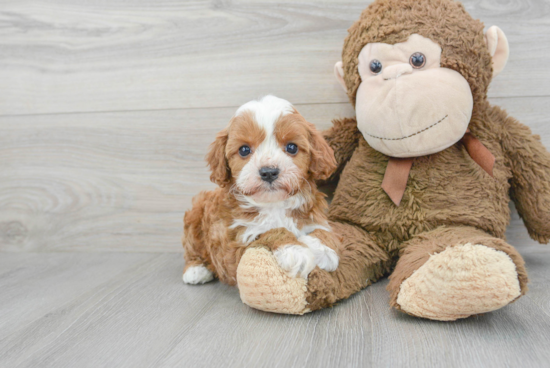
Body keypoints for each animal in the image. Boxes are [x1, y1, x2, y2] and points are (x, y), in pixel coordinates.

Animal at [183, 94, 340, 284]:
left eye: (292, 147)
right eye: (244, 150)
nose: (269, 172)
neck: (274, 204)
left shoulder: (313, 216)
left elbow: (322, 230)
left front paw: (322, 249)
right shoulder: (233, 247)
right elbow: (268, 231)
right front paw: (295, 250)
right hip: (195, 216)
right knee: (192, 249)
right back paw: (196, 269)